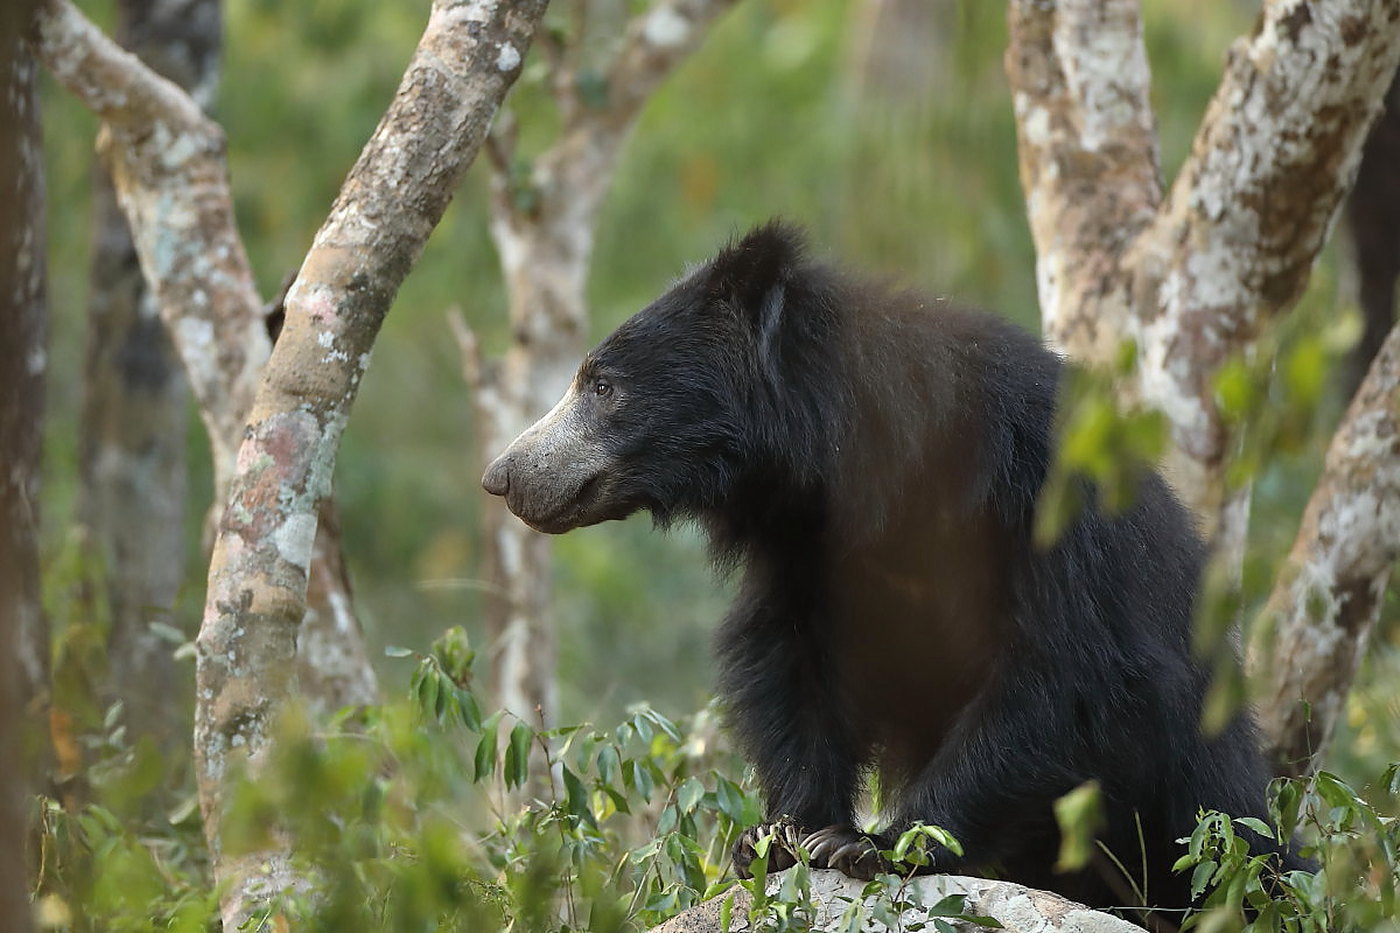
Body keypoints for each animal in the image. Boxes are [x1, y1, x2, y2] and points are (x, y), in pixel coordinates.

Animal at [484, 224, 1299, 913]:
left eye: (603, 386)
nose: (504, 477)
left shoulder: (1045, 503)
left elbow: (1069, 672)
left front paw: (876, 844)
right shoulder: (809, 544)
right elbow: (790, 656)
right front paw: (781, 836)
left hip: (1202, 808)